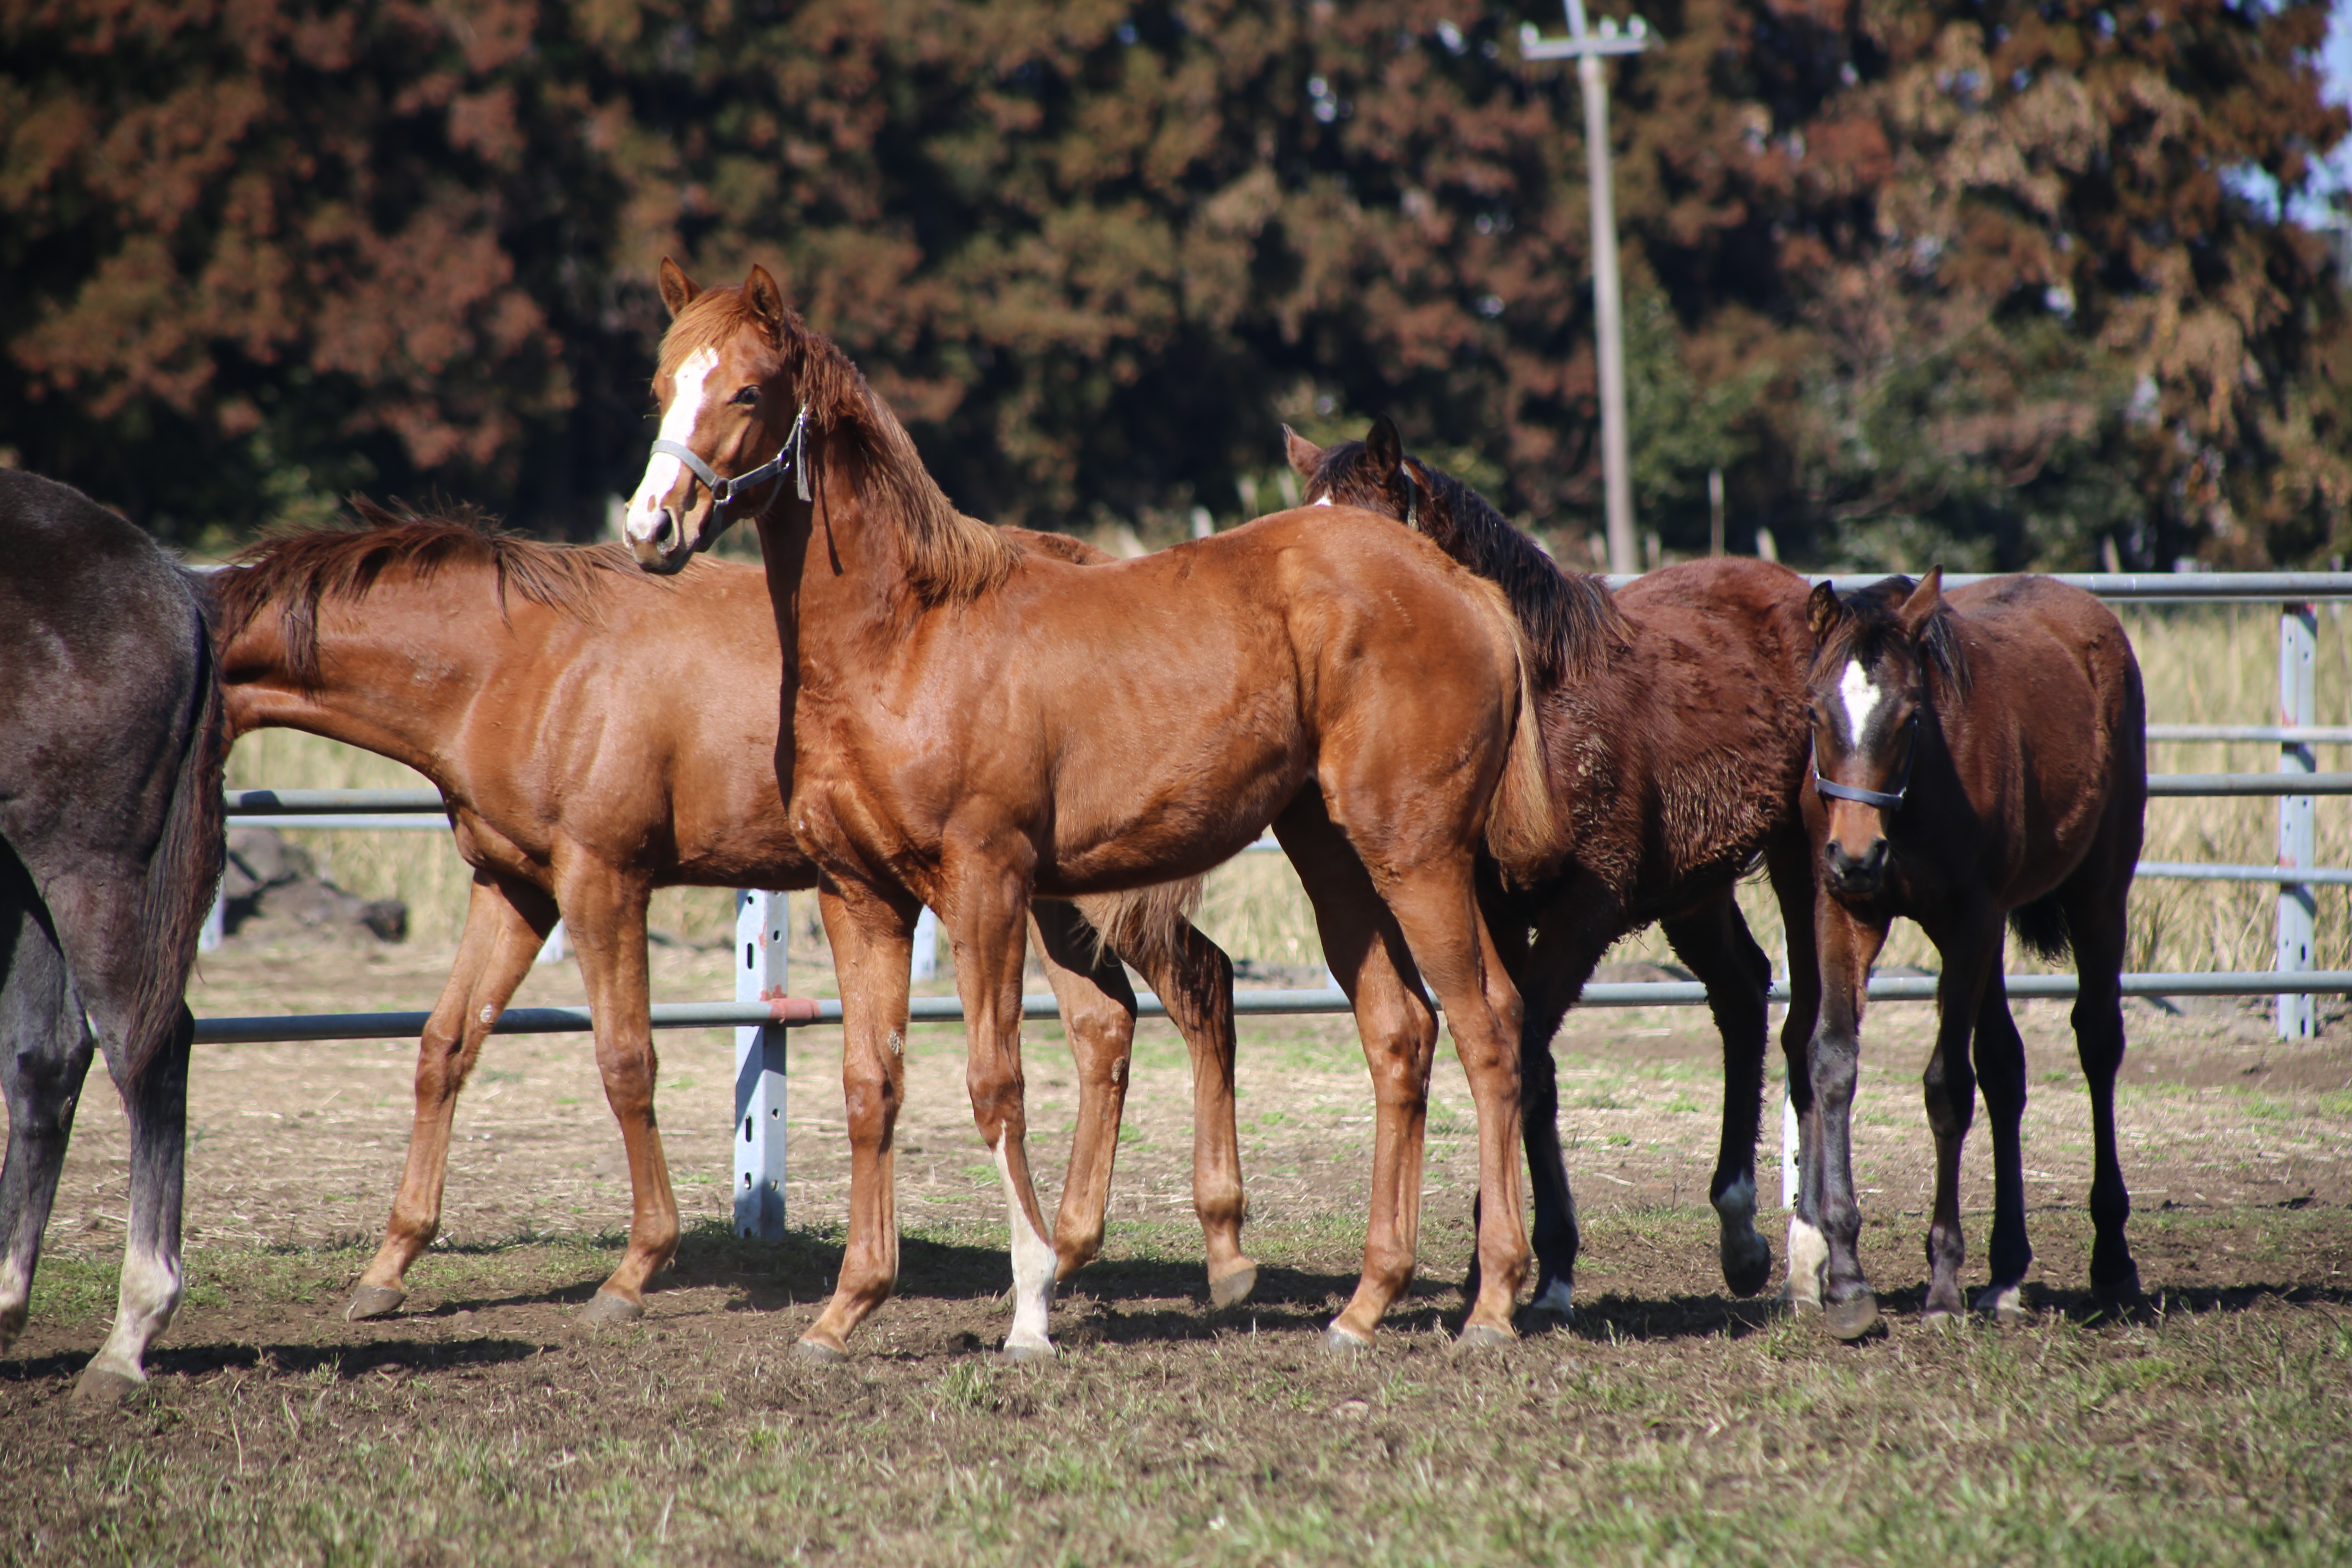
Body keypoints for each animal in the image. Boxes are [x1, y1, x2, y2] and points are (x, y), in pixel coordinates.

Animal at [621, 261, 1561, 1363]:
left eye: (746, 391)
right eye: (660, 385)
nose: (650, 528)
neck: (903, 641)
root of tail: (1460, 585)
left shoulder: (985, 883)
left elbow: (996, 1082)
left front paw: (1030, 1303)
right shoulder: (859, 896)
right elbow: (868, 1086)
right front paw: (847, 1306)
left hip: (1416, 853)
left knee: (1486, 1027)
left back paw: (1493, 1304)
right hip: (1336, 857)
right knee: (1400, 1030)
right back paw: (1364, 1305)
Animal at [1289, 423, 1815, 1316]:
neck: (1544, 699)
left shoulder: (1586, 910)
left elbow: (1527, 1052)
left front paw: (1505, 1268)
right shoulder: (1495, 910)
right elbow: (1531, 1064)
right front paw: (1545, 1264)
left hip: (1801, 860)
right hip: (1695, 891)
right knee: (1742, 993)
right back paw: (1740, 1236)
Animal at [1797, 571, 2154, 1335]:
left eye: (1910, 717)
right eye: (1813, 712)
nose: (1856, 855)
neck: (1916, 791)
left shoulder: (1968, 922)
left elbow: (1946, 1086)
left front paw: (1941, 1283)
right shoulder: (1843, 911)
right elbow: (1834, 1063)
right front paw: (1845, 1277)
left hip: (2099, 893)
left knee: (2097, 1043)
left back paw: (2111, 1260)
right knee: (2005, 1066)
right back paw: (2007, 1271)